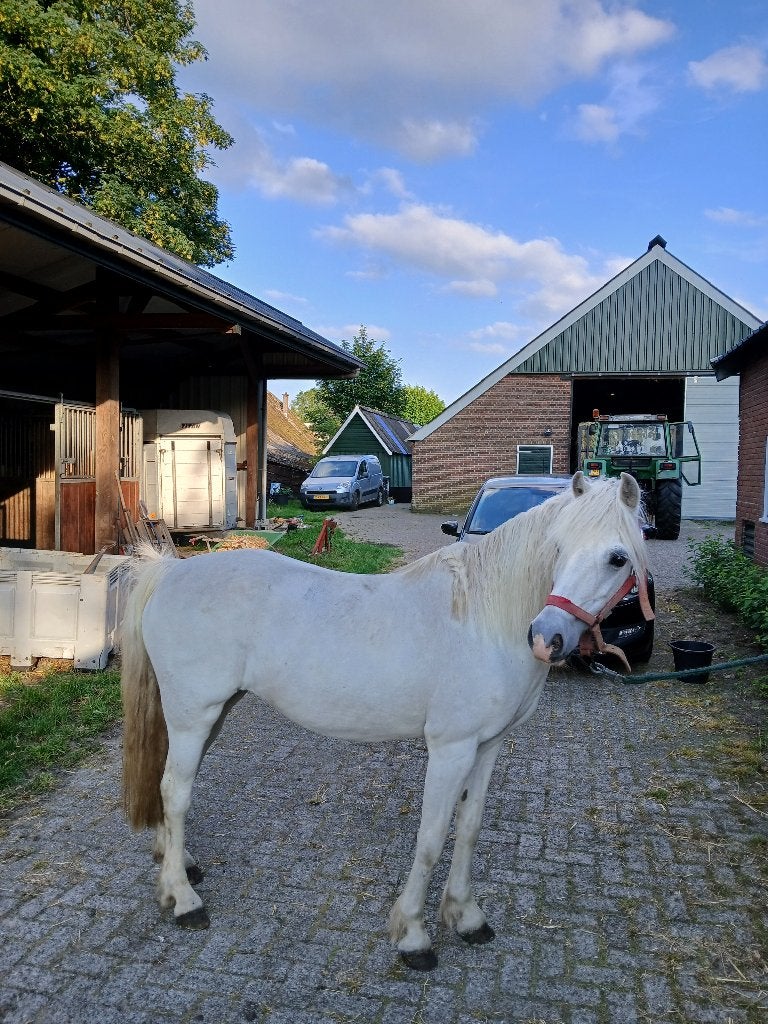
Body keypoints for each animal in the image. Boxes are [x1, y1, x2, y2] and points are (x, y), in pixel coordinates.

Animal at [120, 471, 647, 971]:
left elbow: (470, 827)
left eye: (618, 559)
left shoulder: (488, 746)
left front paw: (466, 916)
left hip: (211, 715)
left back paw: (178, 864)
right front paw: (413, 934)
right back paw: (183, 899)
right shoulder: (451, 749)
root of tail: (171, 573)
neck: (484, 619)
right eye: (557, 547)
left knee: (169, 786)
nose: (546, 638)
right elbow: (432, 836)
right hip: (194, 715)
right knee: (175, 791)